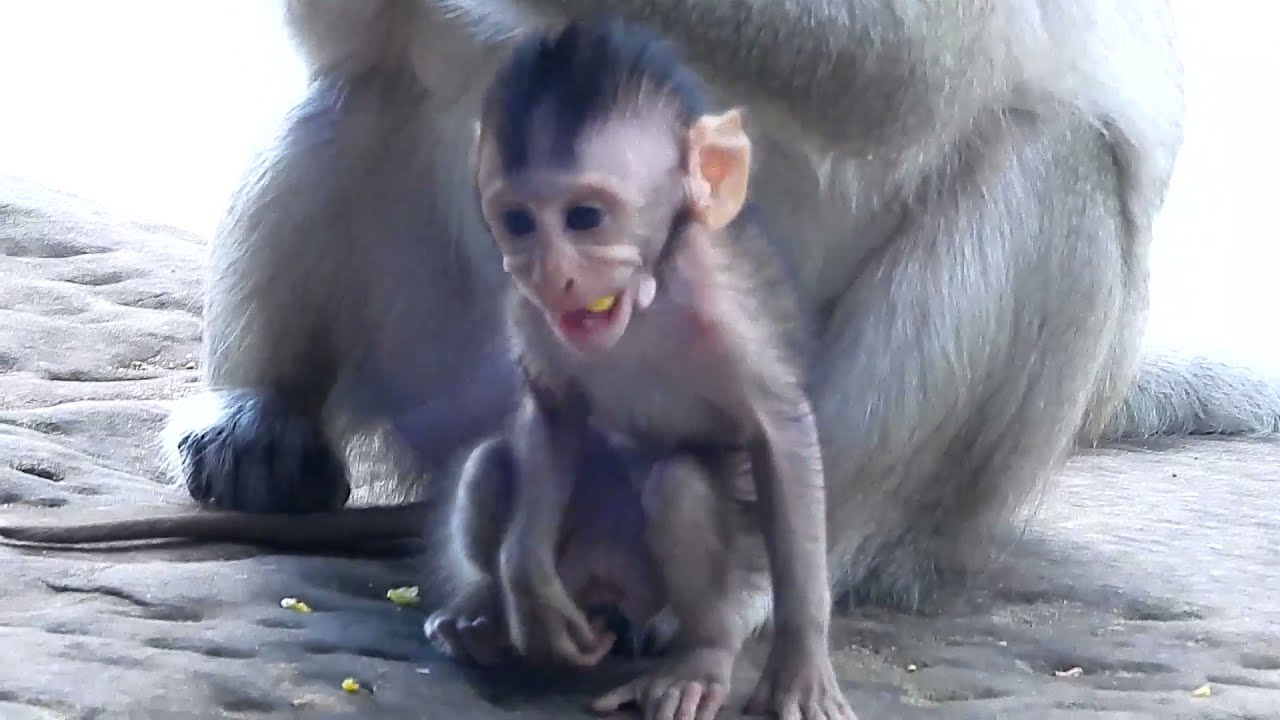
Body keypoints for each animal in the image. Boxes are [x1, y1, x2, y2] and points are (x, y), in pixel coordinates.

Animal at [431, 19, 853, 720]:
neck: (643, 308)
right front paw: (526, 591)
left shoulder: (728, 312)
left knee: (679, 485)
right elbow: (554, 414)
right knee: (491, 463)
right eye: (518, 222)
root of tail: (608, 592)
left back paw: (700, 658)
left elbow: (783, 439)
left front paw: (799, 665)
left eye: (585, 217)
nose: (552, 275)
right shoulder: (528, 312)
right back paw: (483, 615)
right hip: (578, 567)